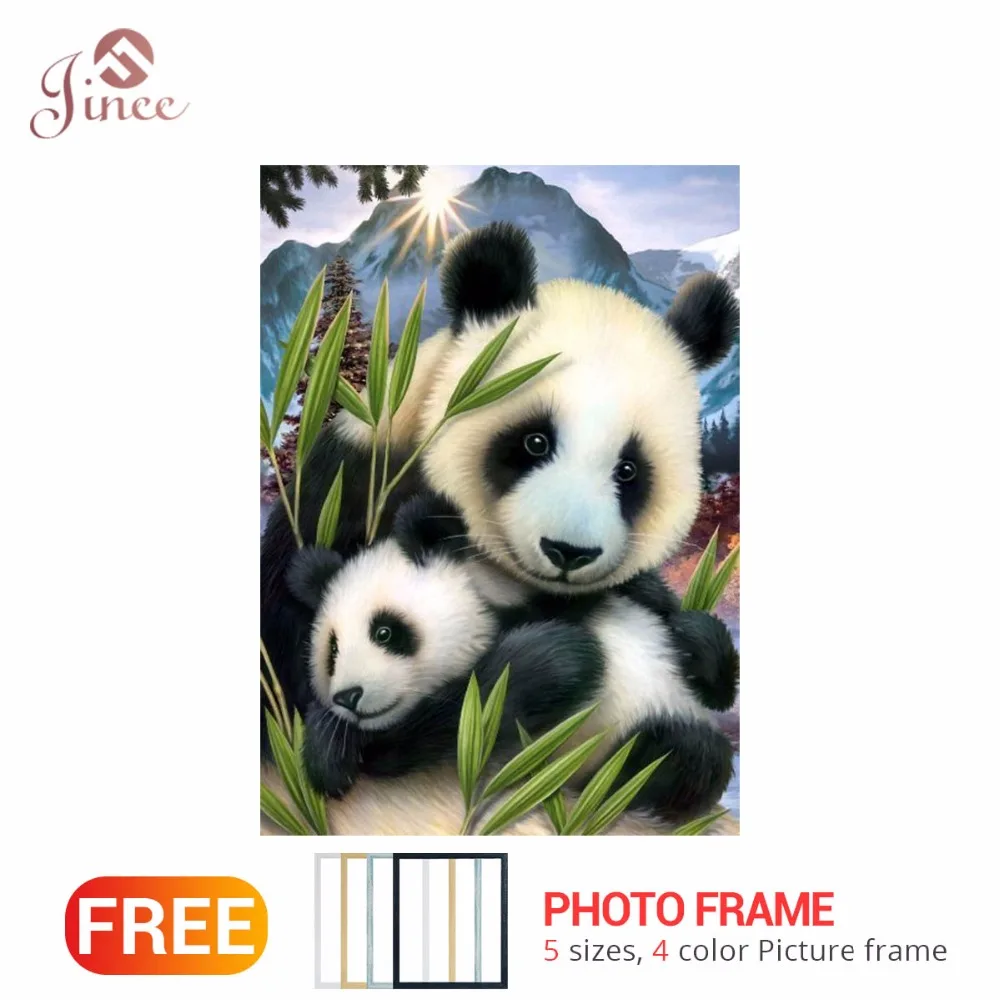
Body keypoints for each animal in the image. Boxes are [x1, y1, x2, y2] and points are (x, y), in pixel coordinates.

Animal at [260, 221, 740, 756]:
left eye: (629, 470)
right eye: (535, 441)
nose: (569, 552)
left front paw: (696, 642)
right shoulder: (347, 489)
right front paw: (547, 663)